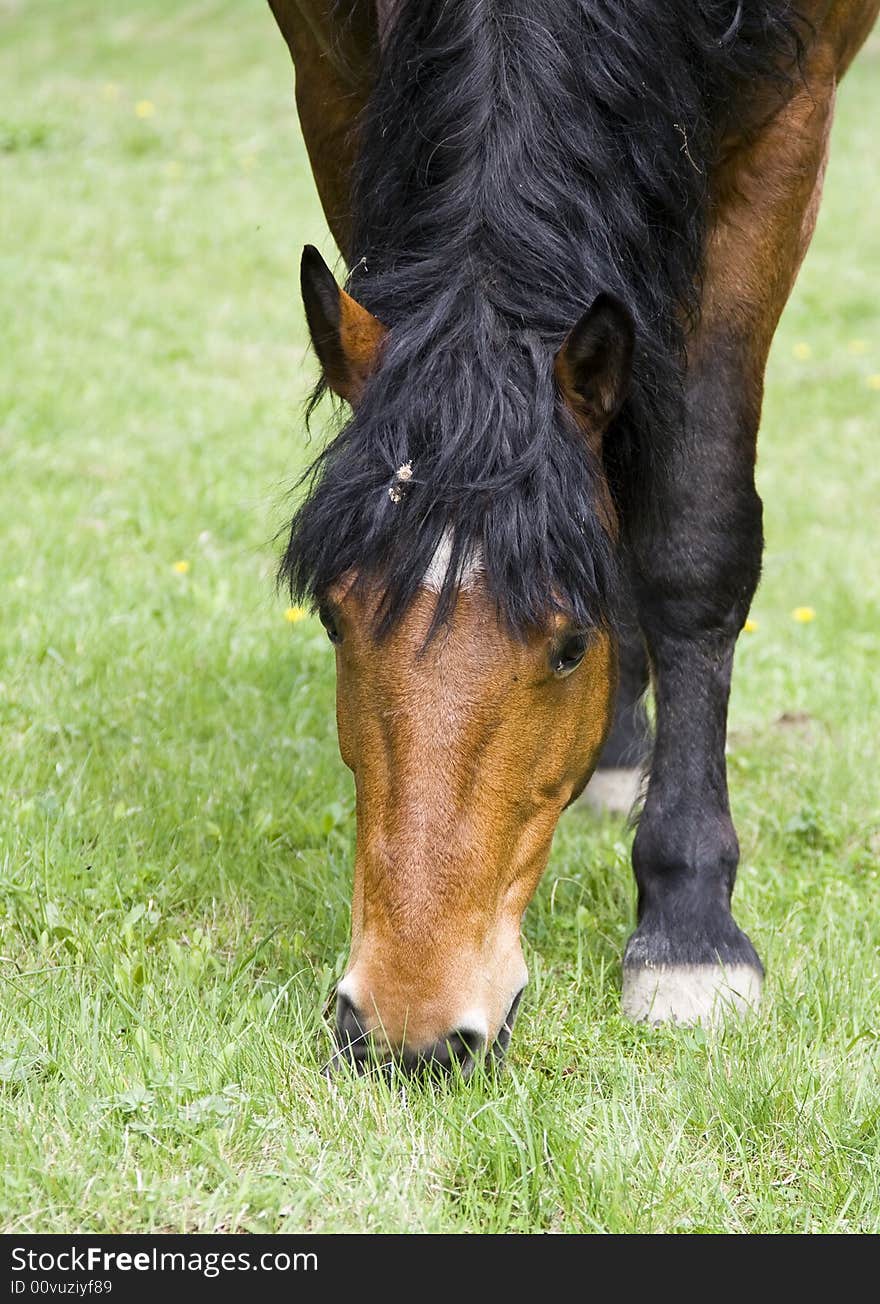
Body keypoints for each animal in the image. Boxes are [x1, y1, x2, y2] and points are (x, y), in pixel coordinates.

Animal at [269, 0, 880, 1074]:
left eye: (568, 645)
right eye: (337, 622)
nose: (413, 1029)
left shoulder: (787, 130)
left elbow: (694, 539)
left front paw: (689, 930)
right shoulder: (334, 86)